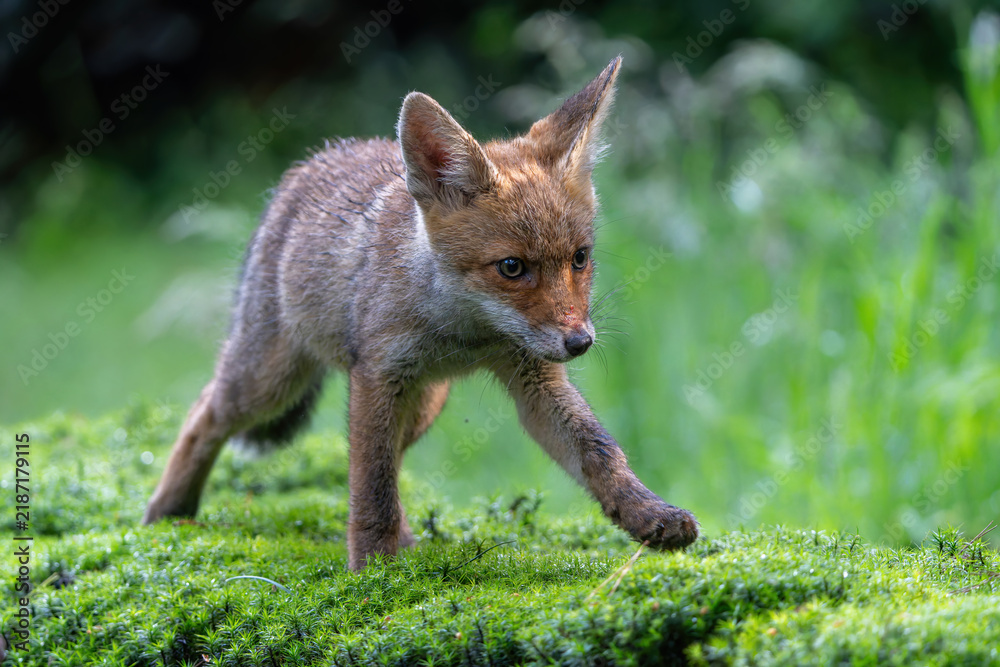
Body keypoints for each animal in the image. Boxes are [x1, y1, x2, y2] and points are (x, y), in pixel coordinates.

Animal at [142, 56, 699, 570]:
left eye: (580, 258)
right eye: (512, 267)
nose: (581, 342)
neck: (465, 336)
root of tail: (317, 159)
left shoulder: (532, 374)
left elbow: (598, 450)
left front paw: (648, 514)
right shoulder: (378, 375)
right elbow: (372, 490)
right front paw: (373, 571)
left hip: (421, 405)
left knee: (384, 459)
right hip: (269, 383)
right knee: (206, 413)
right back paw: (167, 511)